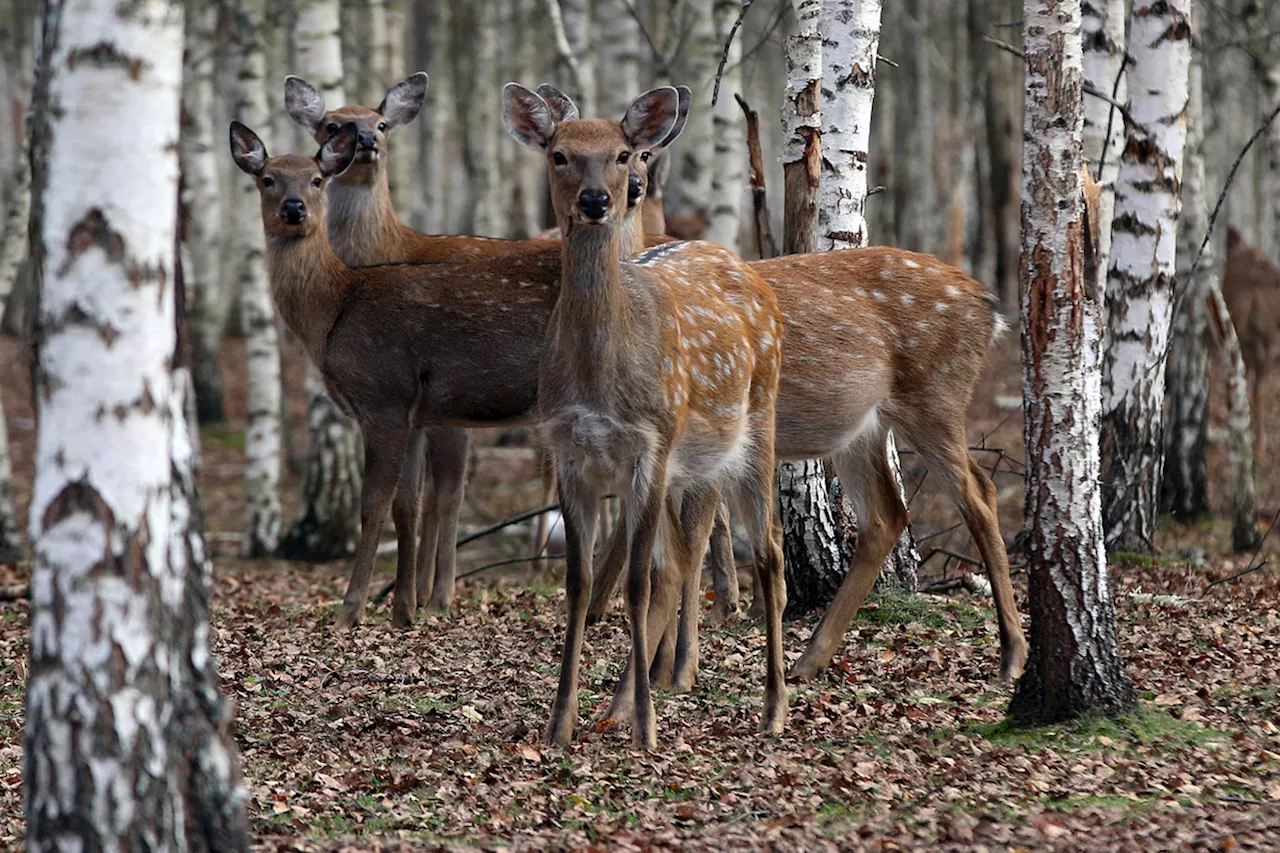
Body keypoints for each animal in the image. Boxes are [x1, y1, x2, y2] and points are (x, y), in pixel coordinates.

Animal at [501, 81, 788, 742]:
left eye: (625, 153)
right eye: (559, 153)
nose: (598, 199)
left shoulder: (651, 447)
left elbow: (635, 582)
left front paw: (646, 729)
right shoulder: (569, 451)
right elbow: (579, 584)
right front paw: (561, 724)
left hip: (757, 423)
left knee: (768, 552)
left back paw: (774, 707)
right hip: (698, 464)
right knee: (687, 557)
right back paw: (636, 693)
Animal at [1218, 225, 1280, 461]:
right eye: (1259, 259)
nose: (1279, 274)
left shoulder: (1269, 346)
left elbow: (1257, 391)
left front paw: (1260, 444)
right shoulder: (1244, 350)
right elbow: (1240, 387)